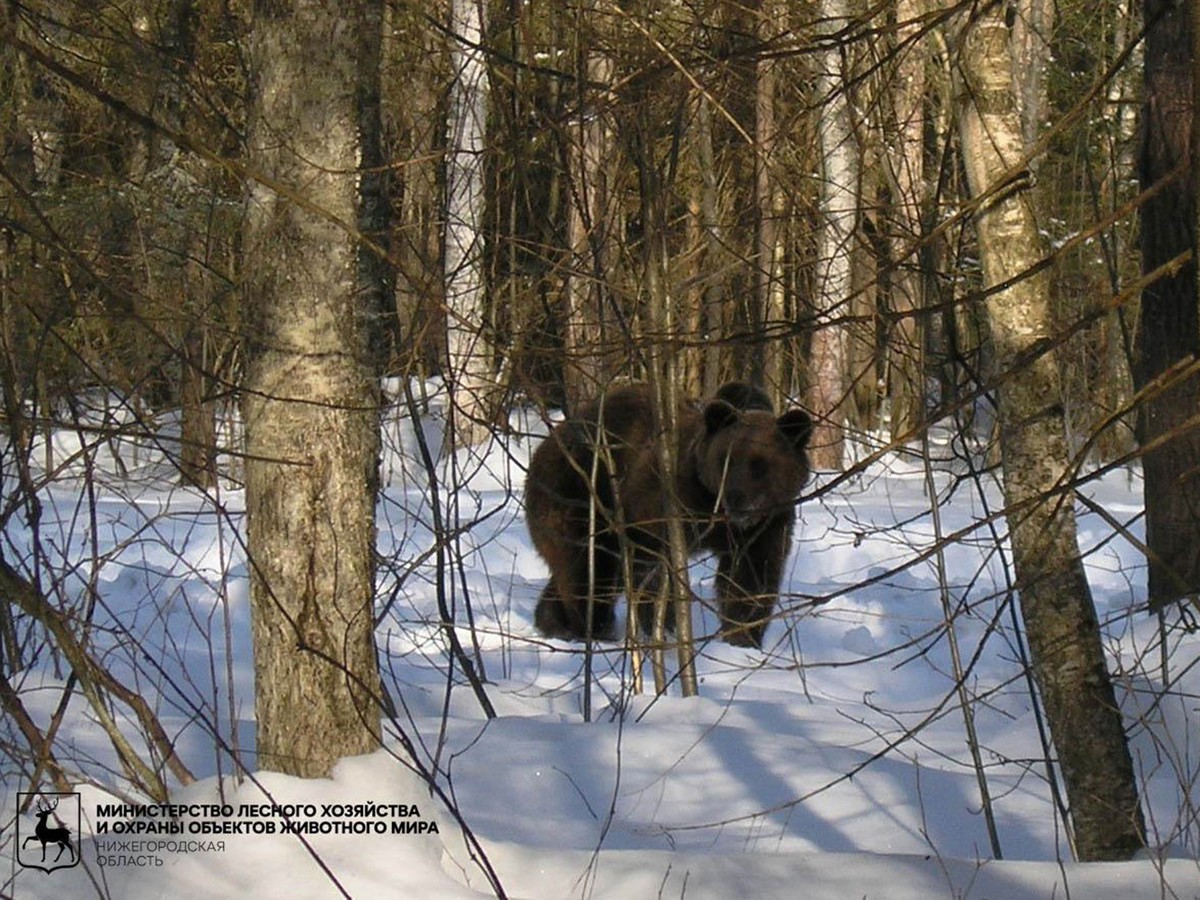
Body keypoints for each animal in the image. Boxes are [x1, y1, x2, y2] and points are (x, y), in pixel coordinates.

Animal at [528, 381, 816, 648]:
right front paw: (664, 628)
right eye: (725, 459)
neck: (714, 510)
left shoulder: (767, 524)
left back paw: (553, 621)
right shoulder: (665, 503)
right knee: (589, 568)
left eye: (760, 465)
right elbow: (654, 566)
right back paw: (592, 629)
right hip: (579, 494)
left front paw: (742, 637)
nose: (737, 500)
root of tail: (542, 449)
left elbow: (751, 578)